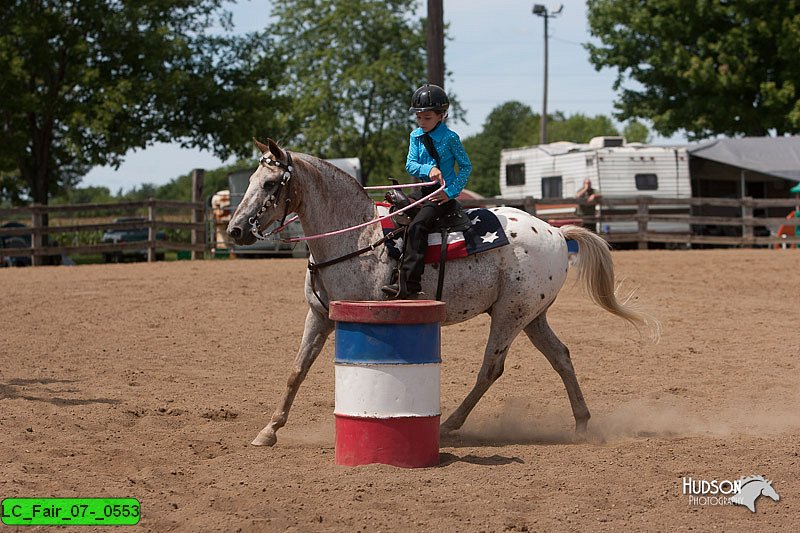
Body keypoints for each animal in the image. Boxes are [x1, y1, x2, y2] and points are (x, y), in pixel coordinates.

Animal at [228, 137, 660, 444]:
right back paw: (582, 423)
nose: (235, 230)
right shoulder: (318, 316)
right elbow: (296, 371)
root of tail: (555, 232)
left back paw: (451, 424)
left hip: (510, 315)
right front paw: (269, 431)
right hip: (533, 316)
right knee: (561, 357)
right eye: (249, 181)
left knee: (491, 368)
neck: (356, 237)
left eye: (271, 183)